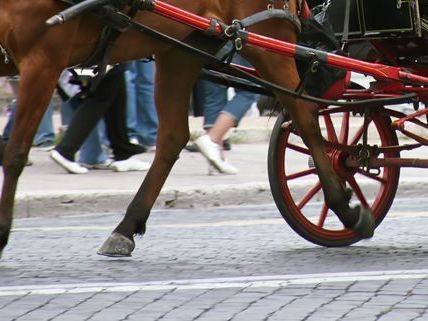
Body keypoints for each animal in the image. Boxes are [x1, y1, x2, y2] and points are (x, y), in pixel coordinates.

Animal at [0, 0, 374, 256]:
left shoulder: (43, 61)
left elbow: (15, 153)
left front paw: (2, 233)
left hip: (267, 39)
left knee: (305, 116)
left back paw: (346, 208)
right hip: (181, 47)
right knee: (172, 137)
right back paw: (125, 228)